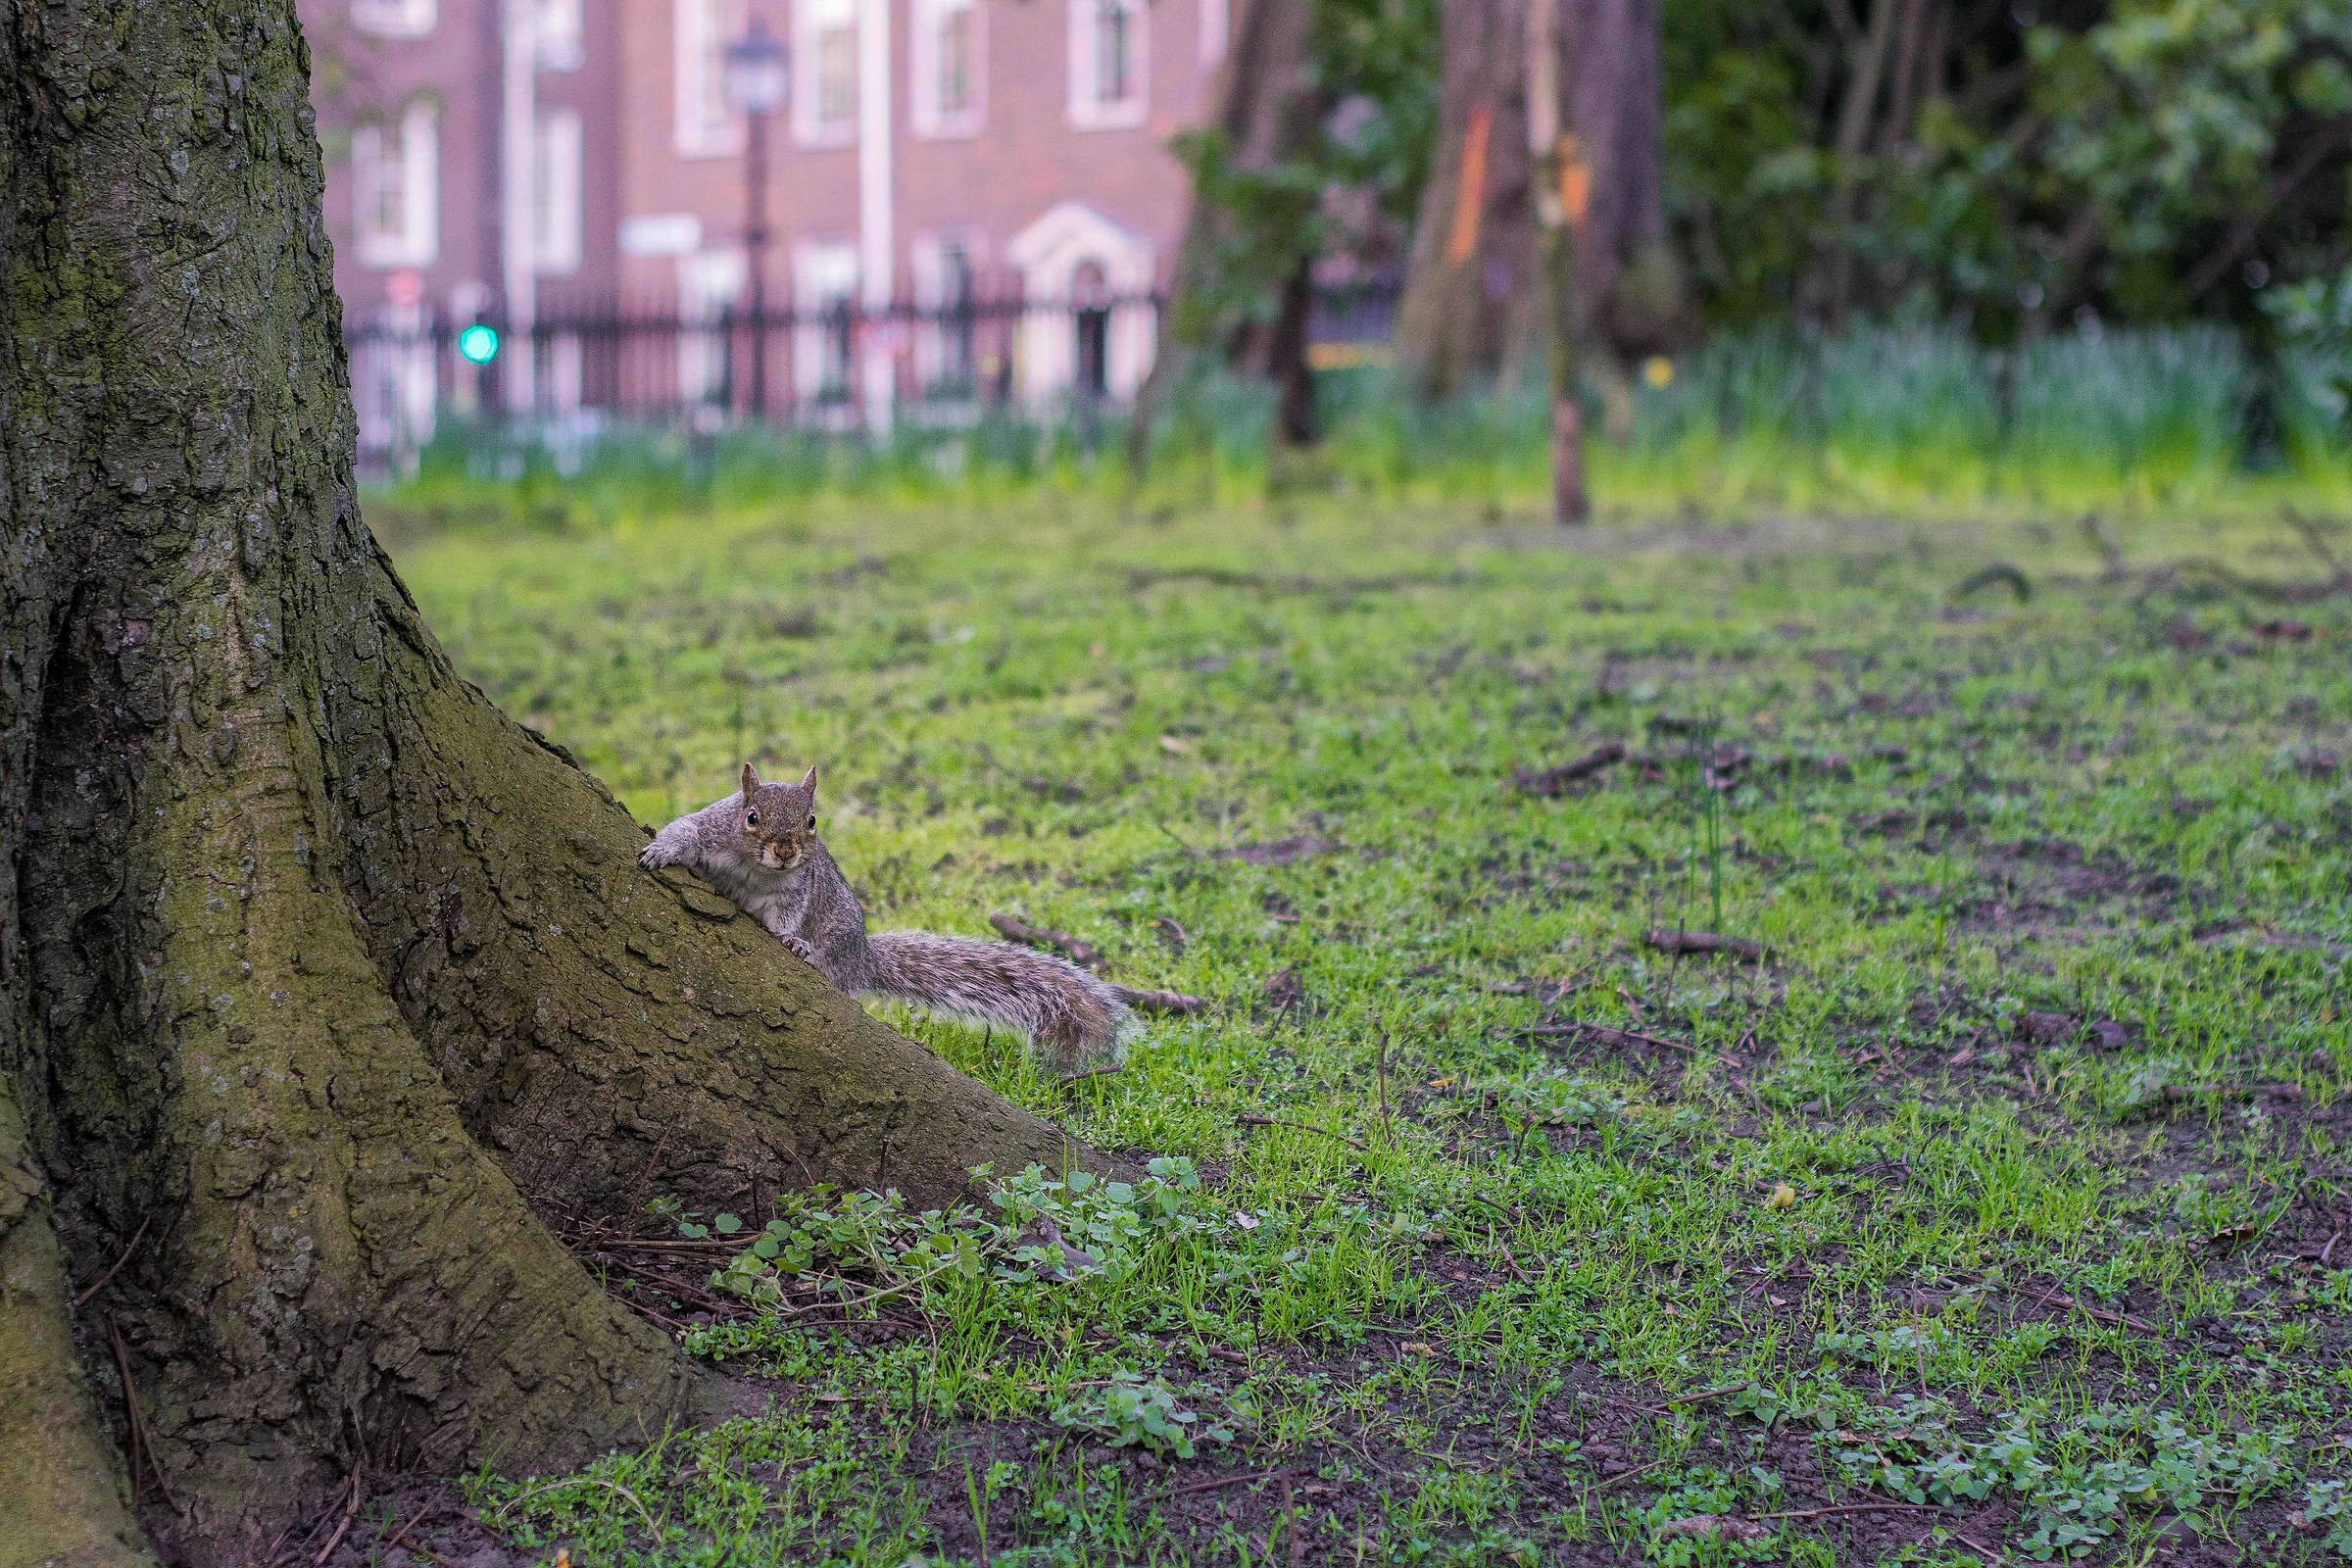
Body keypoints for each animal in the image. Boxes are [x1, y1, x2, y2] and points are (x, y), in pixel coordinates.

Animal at [639, 763, 1132, 1071]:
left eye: (812, 820)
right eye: (752, 817)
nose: (785, 851)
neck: (757, 868)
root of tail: (864, 957)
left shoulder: (794, 890)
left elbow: (787, 917)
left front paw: (791, 940)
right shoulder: (712, 830)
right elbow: (685, 829)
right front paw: (661, 850)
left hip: (839, 944)